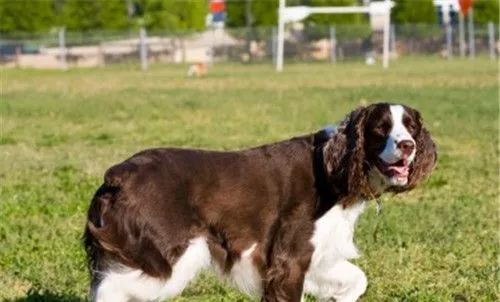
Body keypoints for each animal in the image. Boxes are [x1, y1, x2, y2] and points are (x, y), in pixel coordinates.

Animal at [85, 102, 438, 300]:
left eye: (412, 127)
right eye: (381, 128)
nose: (408, 146)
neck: (333, 169)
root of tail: (117, 174)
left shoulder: (316, 257)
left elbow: (356, 280)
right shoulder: (288, 259)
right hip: (166, 260)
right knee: (109, 290)